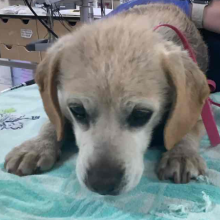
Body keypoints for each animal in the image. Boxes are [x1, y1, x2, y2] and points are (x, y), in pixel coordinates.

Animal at [4, 3, 209, 196]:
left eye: (141, 115)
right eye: (77, 110)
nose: (102, 184)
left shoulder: (194, 112)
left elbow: (185, 129)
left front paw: (181, 154)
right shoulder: (61, 106)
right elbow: (53, 124)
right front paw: (36, 147)